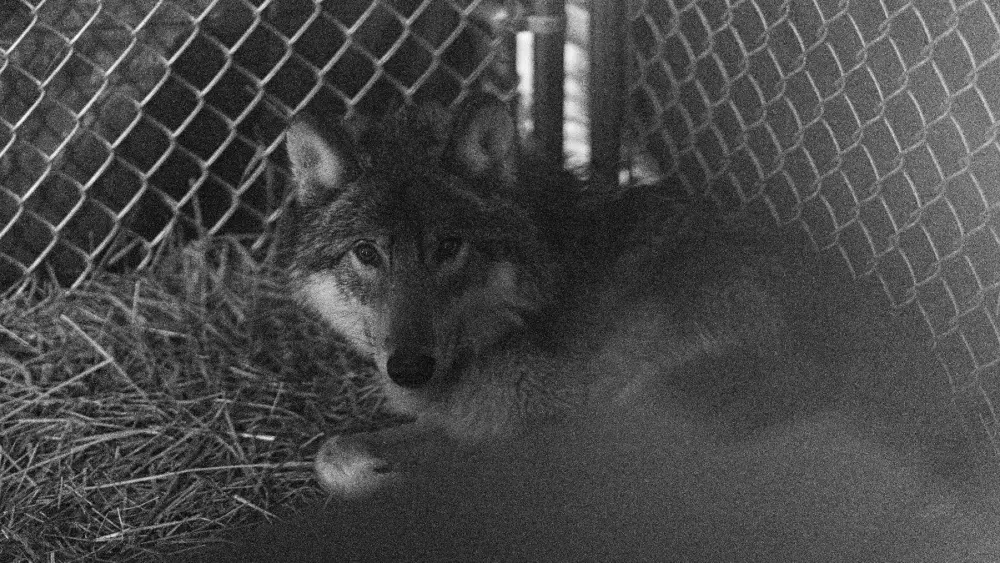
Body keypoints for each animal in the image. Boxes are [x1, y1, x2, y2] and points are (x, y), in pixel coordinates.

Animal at [283, 96, 797, 496]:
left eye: (449, 247)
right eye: (366, 252)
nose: (409, 369)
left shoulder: (544, 426)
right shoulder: (472, 417)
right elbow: (333, 450)